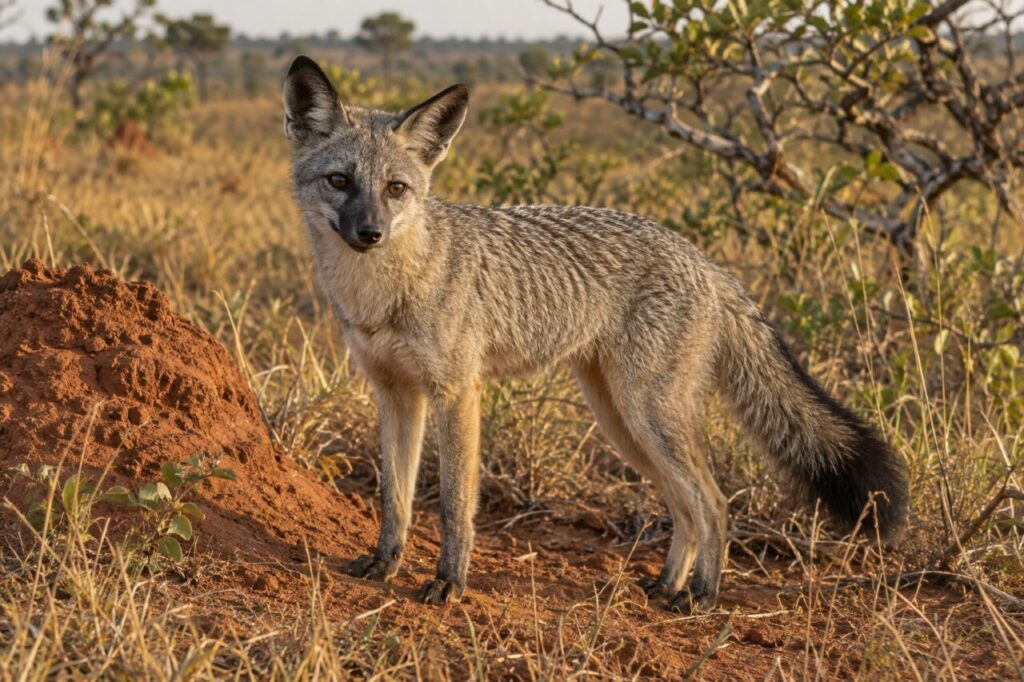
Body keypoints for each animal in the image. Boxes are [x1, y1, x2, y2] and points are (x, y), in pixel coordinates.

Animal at [282, 55, 909, 610]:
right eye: (340, 181)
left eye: (396, 189)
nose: (369, 233)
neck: (385, 291)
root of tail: (706, 262)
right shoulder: (395, 395)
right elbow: (395, 499)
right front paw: (384, 562)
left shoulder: (457, 394)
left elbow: (456, 505)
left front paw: (449, 582)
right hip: (622, 424)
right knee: (686, 508)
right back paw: (667, 586)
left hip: (645, 416)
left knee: (713, 502)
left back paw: (702, 596)